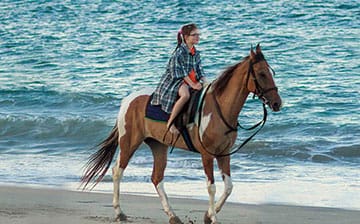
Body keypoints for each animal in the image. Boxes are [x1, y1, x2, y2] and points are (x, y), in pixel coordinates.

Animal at [81, 44, 282, 224]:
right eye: (262, 74)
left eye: (271, 72)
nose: (277, 103)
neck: (218, 109)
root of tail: (127, 101)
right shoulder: (207, 155)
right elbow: (211, 187)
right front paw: (213, 218)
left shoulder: (224, 154)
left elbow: (229, 187)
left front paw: (208, 215)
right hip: (129, 142)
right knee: (117, 171)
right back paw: (119, 213)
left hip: (158, 145)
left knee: (157, 178)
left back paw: (173, 216)